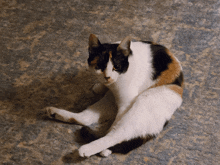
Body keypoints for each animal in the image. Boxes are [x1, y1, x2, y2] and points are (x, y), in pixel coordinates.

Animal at [45, 33, 183, 157]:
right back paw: (55, 113)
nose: (107, 77)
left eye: (116, 67)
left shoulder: (126, 103)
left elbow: (113, 129)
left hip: (142, 103)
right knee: (86, 118)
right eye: (99, 66)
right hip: (109, 100)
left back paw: (91, 149)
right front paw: (99, 87)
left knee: (115, 134)